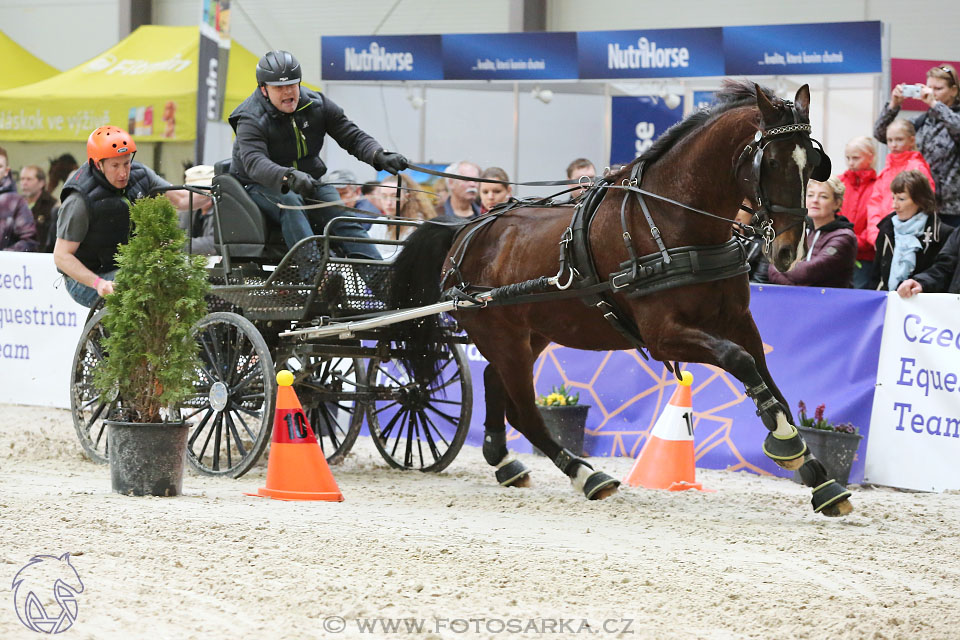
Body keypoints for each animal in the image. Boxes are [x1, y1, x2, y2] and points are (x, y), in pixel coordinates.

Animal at [390, 81, 856, 520]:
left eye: (813, 163)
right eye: (771, 162)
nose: (789, 251)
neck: (673, 223)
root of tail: (464, 230)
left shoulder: (739, 321)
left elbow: (771, 384)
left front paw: (819, 479)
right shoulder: (662, 336)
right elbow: (738, 360)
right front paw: (786, 443)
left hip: (533, 333)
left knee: (494, 382)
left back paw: (504, 461)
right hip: (501, 337)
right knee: (524, 411)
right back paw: (585, 474)